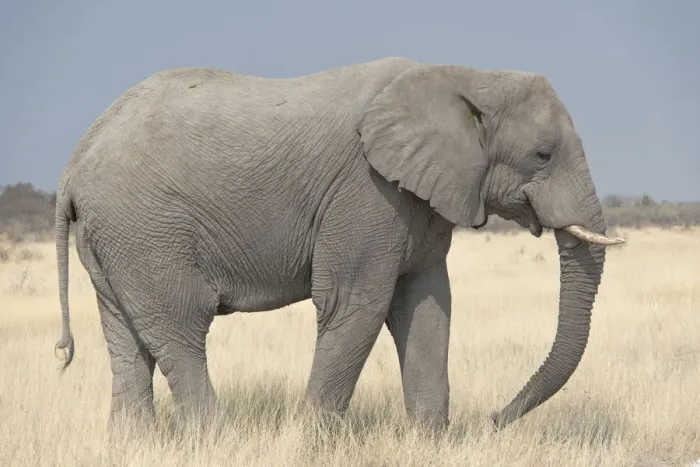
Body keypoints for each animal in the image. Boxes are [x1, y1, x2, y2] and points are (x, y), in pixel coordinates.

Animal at [52, 56, 624, 433]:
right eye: (543, 154)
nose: (490, 420)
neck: (463, 76)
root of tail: (74, 165)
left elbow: (427, 305)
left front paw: (429, 442)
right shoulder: (366, 191)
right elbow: (357, 306)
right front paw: (312, 442)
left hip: (117, 238)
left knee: (126, 338)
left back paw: (134, 445)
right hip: (146, 230)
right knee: (182, 328)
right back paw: (218, 440)